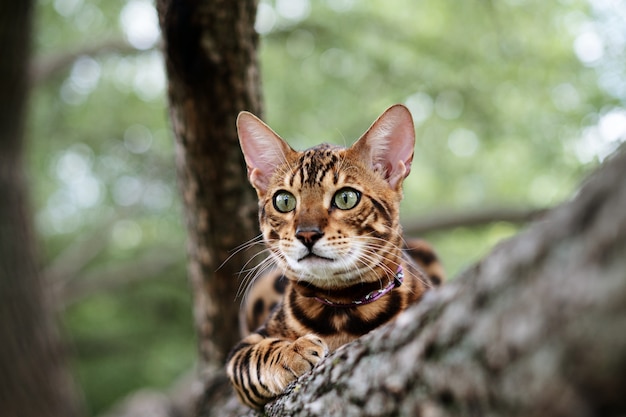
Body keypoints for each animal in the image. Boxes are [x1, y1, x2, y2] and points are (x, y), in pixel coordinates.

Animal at [227, 105, 442, 410]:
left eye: (346, 198)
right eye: (284, 201)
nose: (307, 234)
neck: (343, 305)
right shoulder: (243, 347)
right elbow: (252, 361)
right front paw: (294, 351)